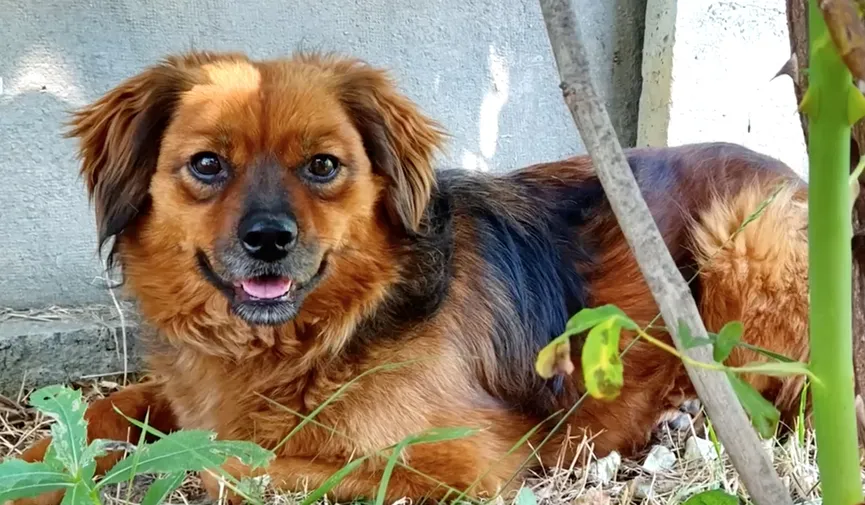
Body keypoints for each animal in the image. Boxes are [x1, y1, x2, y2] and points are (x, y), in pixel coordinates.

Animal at [10, 52, 808, 504]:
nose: (268, 242)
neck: (295, 344)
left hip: (747, 235)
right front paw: (35, 469)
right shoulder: (190, 397)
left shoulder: (458, 461)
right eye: (207, 164)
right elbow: (109, 410)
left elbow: (239, 466)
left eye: (322, 166)